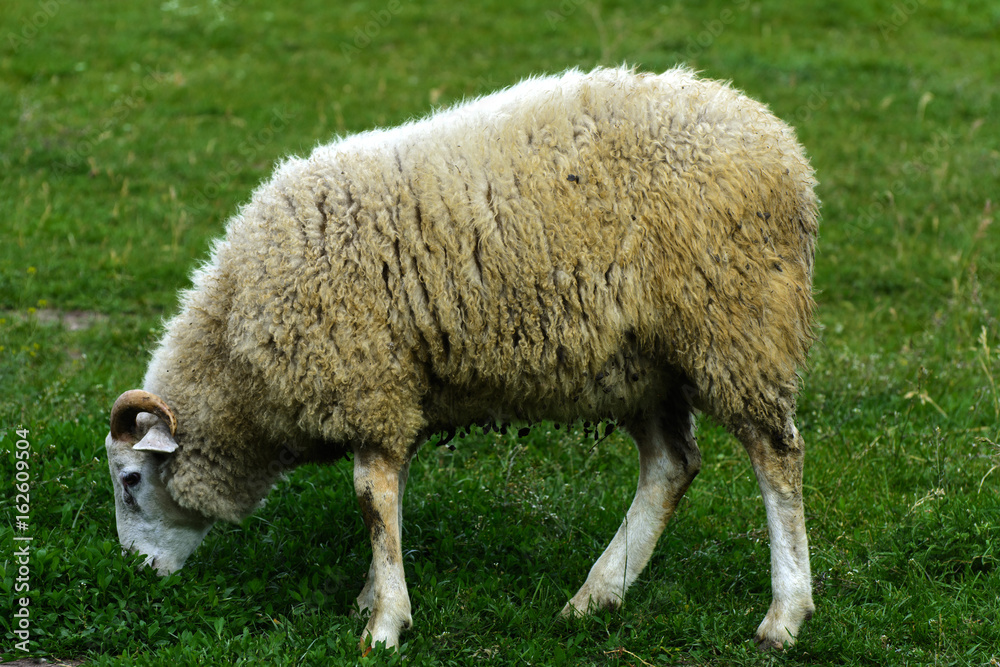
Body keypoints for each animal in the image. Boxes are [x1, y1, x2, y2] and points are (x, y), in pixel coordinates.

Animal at [105, 65, 820, 653]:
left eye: (132, 480)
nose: (135, 575)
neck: (236, 352)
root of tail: (784, 148)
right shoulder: (396, 394)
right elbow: (388, 501)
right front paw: (374, 594)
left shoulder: (370, 384)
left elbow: (372, 499)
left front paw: (384, 624)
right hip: (639, 366)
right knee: (672, 466)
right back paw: (596, 596)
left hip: (738, 327)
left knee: (776, 459)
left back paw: (784, 616)